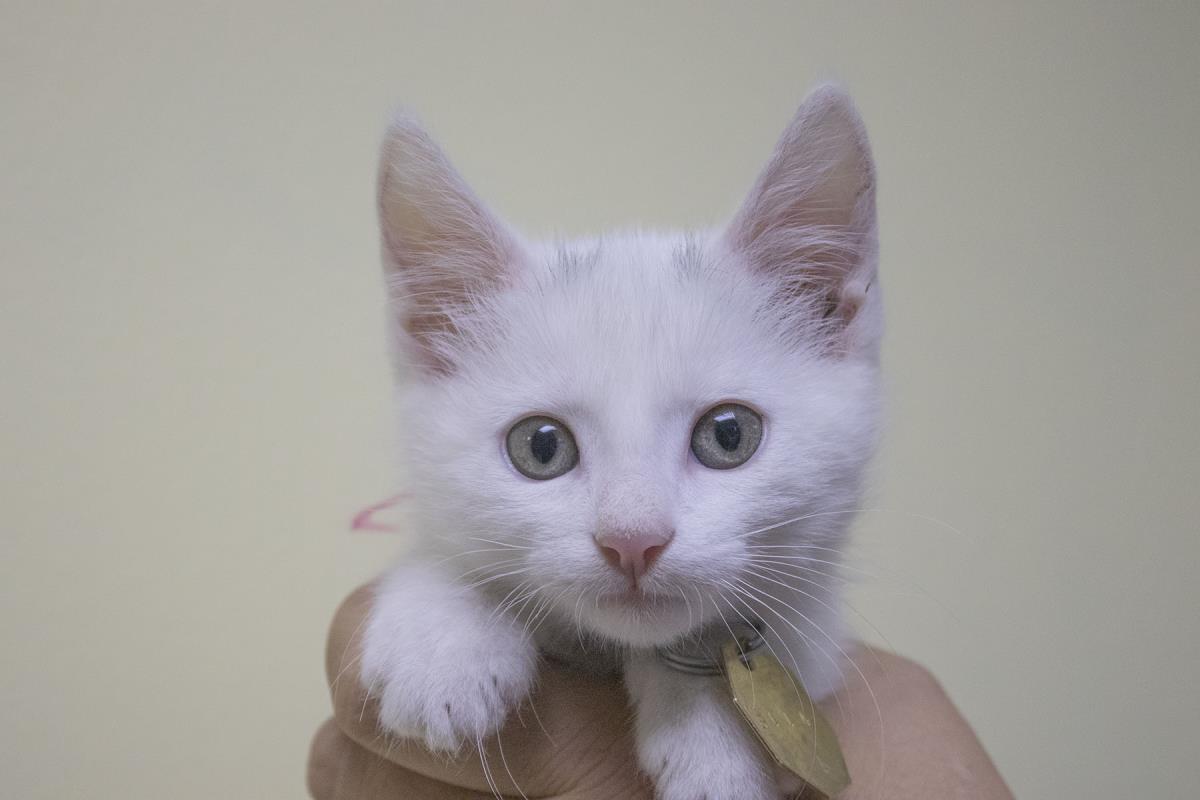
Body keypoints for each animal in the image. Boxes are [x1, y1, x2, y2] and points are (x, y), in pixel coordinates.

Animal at [355, 87, 883, 800]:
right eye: (540, 447)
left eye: (729, 435)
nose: (632, 540)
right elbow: (447, 557)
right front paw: (445, 646)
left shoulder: (818, 625)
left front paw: (711, 742)